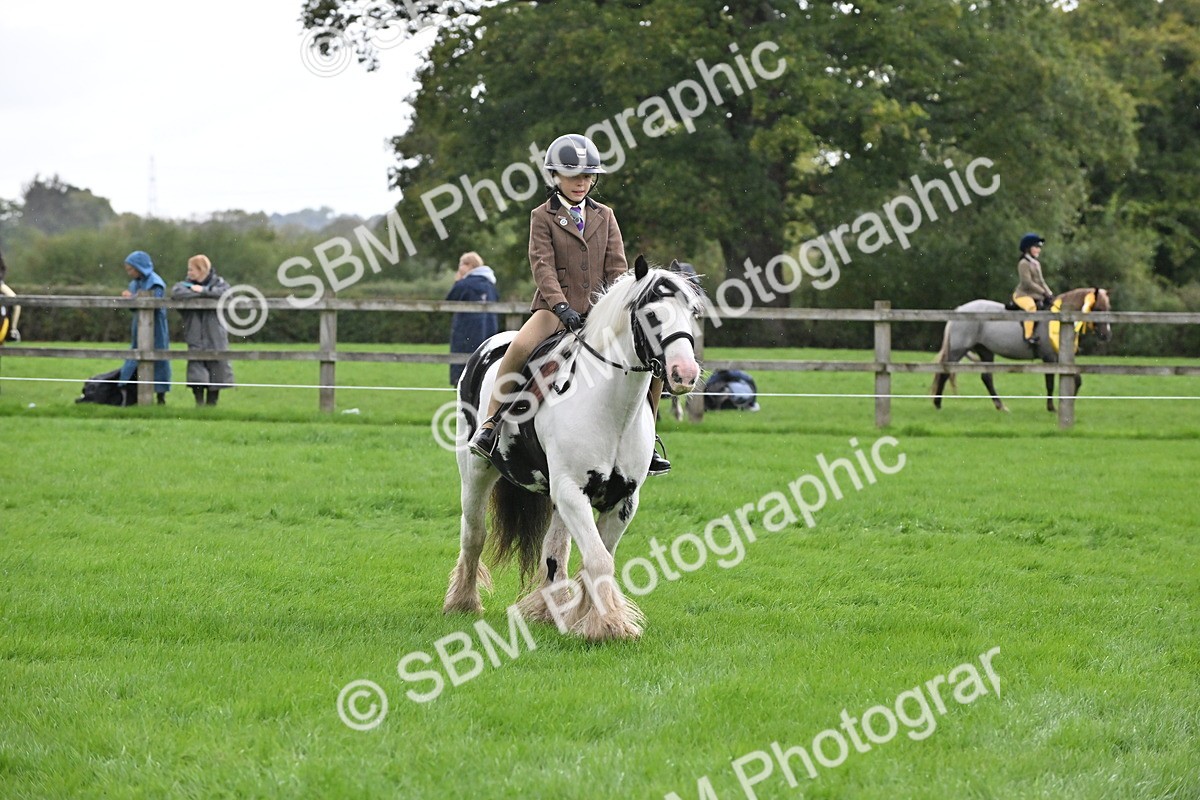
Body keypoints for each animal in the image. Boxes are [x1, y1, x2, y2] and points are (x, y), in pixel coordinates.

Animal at [444, 256, 705, 641]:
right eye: (651, 315)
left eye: (692, 312)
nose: (684, 374)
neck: (611, 409)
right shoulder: (571, 491)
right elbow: (598, 560)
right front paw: (608, 627)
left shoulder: (623, 499)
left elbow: (596, 559)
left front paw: (594, 618)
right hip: (476, 473)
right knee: (474, 535)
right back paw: (463, 602)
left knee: (554, 553)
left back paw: (551, 611)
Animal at [931, 287, 1111, 412]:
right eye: (1098, 309)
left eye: (1108, 308)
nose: (1106, 335)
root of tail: (960, 309)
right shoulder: (1049, 358)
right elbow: (1050, 383)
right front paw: (1052, 408)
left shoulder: (1061, 358)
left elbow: (1077, 379)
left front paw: (1068, 402)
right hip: (958, 350)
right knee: (945, 372)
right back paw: (937, 403)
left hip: (985, 351)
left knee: (986, 378)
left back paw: (1000, 406)